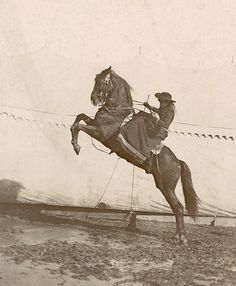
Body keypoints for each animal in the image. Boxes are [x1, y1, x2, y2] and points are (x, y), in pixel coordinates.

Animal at [70, 66, 199, 244]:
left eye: (103, 81)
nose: (94, 99)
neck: (116, 112)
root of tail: (178, 161)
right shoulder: (94, 124)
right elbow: (80, 117)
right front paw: (74, 141)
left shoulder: (100, 133)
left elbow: (78, 126)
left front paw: (76, 146)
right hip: (163, 186)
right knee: (176, 208)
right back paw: (177, 236)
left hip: (166, 186)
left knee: (178, 207)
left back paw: (182, 238)